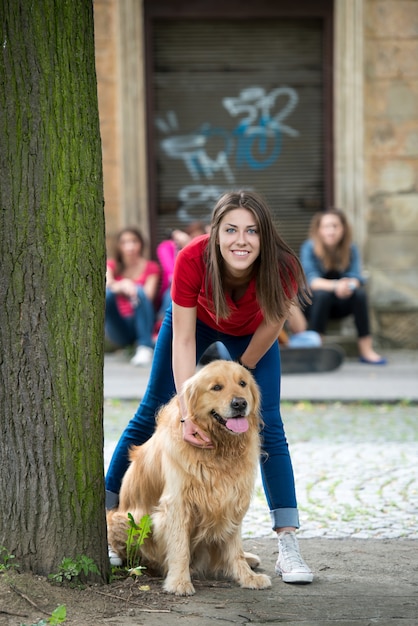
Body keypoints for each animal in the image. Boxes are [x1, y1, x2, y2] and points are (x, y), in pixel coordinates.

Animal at [106, 358, 272, 592]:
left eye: (242, 383)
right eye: (216, 387)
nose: (240, 403)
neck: (219, 449)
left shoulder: (231, 499)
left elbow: (234, 548)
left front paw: (247, 577)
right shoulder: (177, 504)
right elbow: (179, 547)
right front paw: (179, 582)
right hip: (122, 520)